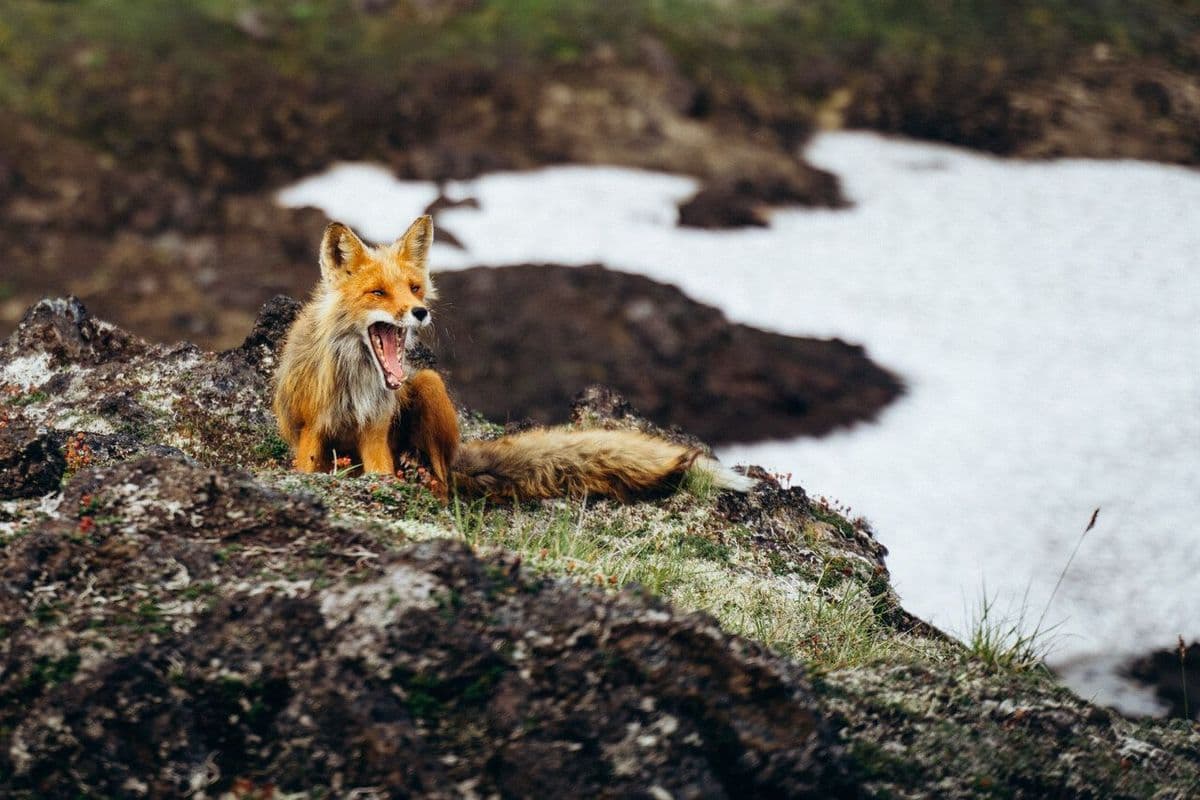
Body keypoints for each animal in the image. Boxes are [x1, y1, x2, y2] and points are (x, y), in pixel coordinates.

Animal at [272, 215, 754, 501]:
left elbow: (381, 472)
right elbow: (308, 465)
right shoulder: (312, 430)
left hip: (428, 383)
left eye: (413, 288)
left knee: (445, 480)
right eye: (377, 293)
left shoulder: (375, 432)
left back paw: (424, 476)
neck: (354, 384)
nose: (420, 311)